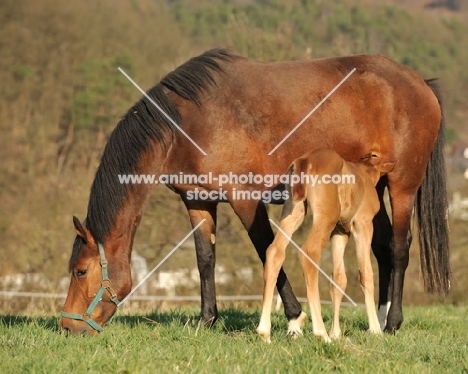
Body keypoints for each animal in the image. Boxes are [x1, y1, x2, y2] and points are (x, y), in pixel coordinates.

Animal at [256, 148, 394, 342]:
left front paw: (336, 333)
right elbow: (365, 274)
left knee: (275, 252)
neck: (364, 173)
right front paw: (375, 329)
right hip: (326, 218)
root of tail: (305, 161)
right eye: (375, 155)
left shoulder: (339, 232)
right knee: (309, 252)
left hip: (295, 211)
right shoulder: (363, 224)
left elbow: (338, 279)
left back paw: (265, 332)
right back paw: (321, 333)